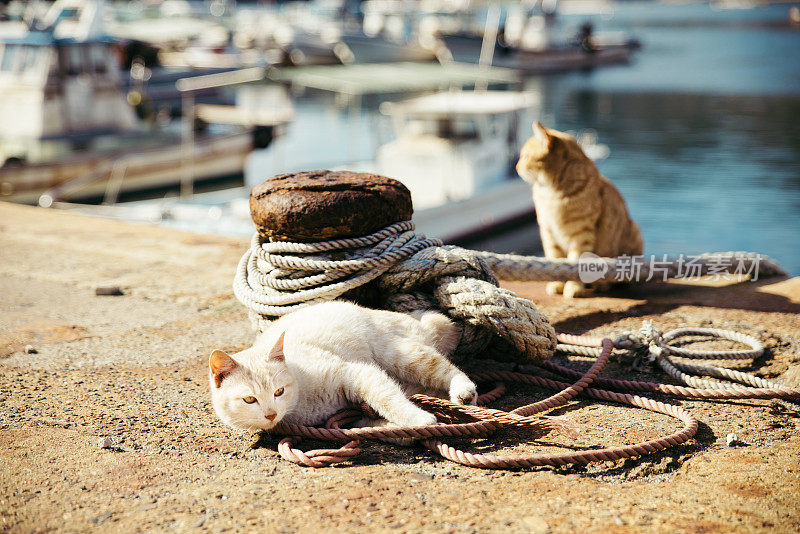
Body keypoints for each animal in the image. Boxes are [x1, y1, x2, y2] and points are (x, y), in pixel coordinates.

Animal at [520, 122, 644, 298]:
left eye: (524, 157)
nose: (516, 167)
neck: (551, 194)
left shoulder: (581, 235)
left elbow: (576, 264)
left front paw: (573, 288)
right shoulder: (548, 233)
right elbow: (555, 261)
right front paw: (557, 283)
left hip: (633, 232)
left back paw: (601, 284)